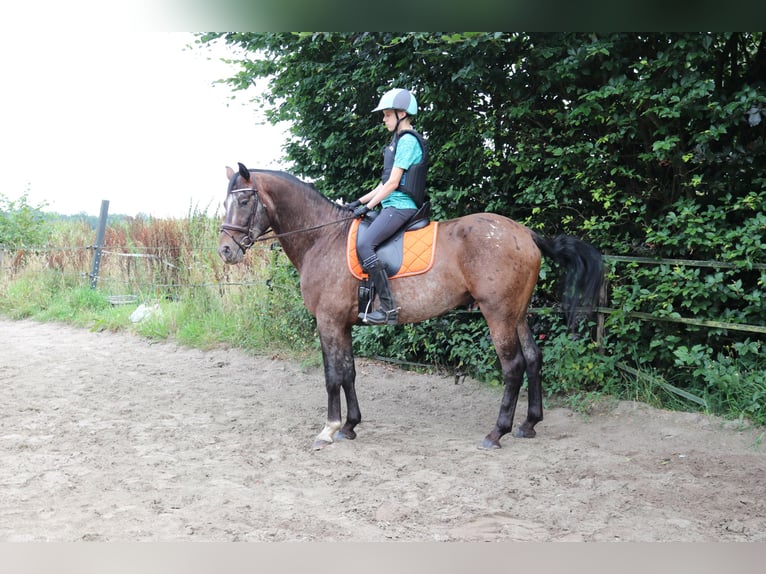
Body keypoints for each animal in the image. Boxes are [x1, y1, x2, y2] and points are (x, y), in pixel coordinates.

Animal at [218, 161, 608, 450]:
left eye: (243, 201)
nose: (225, 251)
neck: (322, 237)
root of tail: (525, 233)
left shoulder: (327, 321)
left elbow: (332, 376)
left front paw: (329, 429)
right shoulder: (343, 324)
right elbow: (349, 373)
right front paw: (350, 426)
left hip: (497, 313)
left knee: (513, 366)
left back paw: (497, 432)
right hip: (518, 313)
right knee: (533, 358)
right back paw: (529, 424)